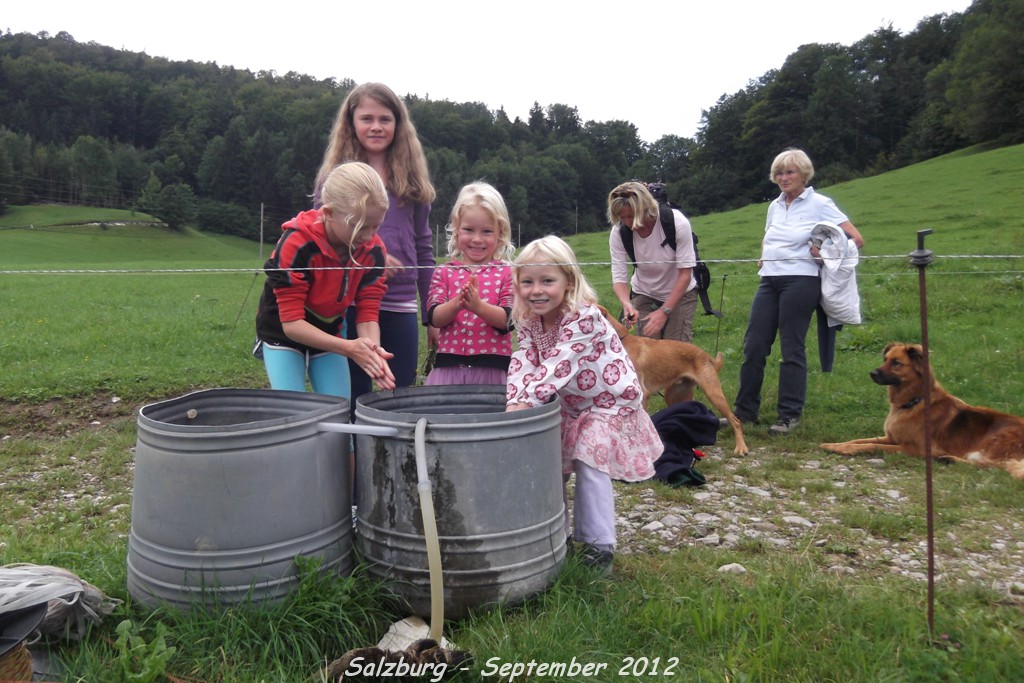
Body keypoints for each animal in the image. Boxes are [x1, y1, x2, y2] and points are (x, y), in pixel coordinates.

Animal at [597, 305, 749, 455]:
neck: (620, 341)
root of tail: (705, 355)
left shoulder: (642, 394)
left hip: (714, 394)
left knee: (736, 421)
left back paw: (741, 447)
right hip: (673, 395)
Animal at [820, 342, 1024, 480]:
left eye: (896, 362)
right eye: (885, 359)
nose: (872, 373)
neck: (912, 403)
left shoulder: (912, 448)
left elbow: (870, 445)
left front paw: (846, 450)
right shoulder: (891, 438)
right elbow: (858, 440)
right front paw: (835, 445)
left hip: (994, 443)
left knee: (997, 466)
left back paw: (949, 459)